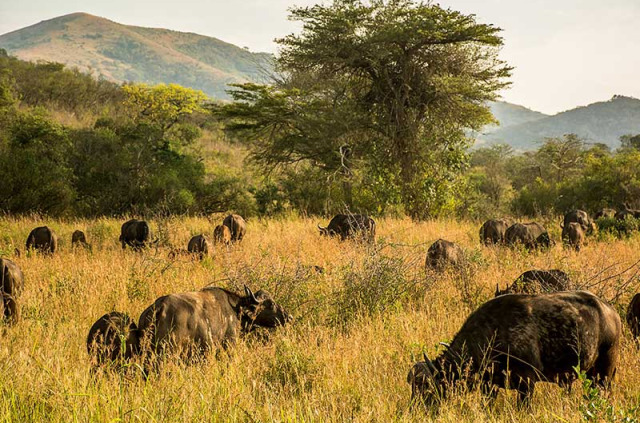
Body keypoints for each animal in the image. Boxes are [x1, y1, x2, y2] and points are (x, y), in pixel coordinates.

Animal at [408, 292, 624, 408]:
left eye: (425, 386)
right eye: (412, 385)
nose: (415, 407)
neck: (494, 333)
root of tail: (612, 312)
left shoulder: (527, 382)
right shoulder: (489, 384)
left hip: (605, 371)